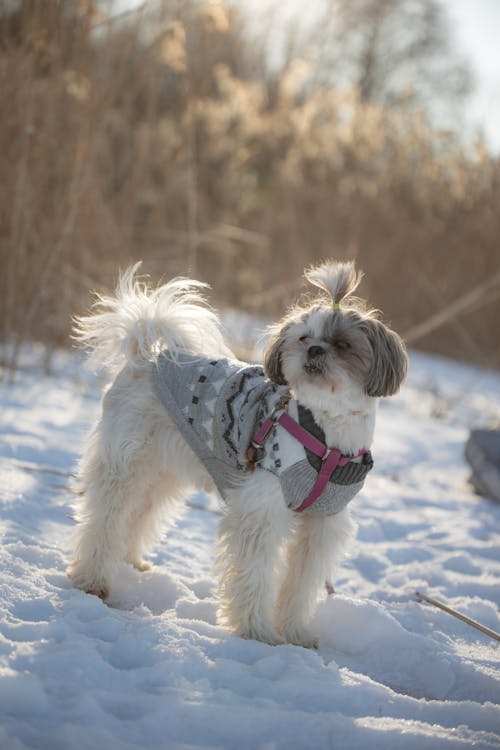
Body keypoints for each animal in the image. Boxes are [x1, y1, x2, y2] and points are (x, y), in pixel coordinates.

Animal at [69, 262, 406, 648]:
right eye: (304, 338)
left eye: (343, 344)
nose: (315, 351)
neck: (326, 435)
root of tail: (149, 356)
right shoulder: (262, 508)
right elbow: (255, 574)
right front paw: (256, 632)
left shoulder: (322, 524)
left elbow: (301, 585)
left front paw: (295, 633)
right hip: (125, 463)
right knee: (105, 518)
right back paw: (93, 579)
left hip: (162, 474)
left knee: (138, 514)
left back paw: (130, 563)